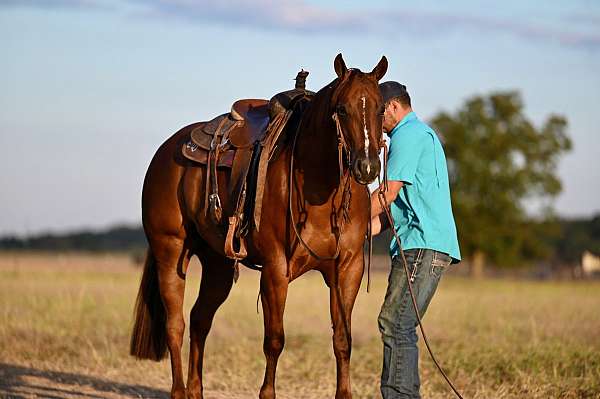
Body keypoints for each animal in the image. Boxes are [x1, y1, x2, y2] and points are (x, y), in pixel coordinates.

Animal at [129, 54, 386, 399]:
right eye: (342, 109)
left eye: (380, 108)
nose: (367, 167)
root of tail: (166, 151)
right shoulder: (276, 269)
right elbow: (275, 340)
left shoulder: (348, 269)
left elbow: (342, 339)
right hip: (170, 252)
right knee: (175, 325)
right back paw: (180, 391)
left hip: (218, 265)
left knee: (199, 320)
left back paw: (196, 391)